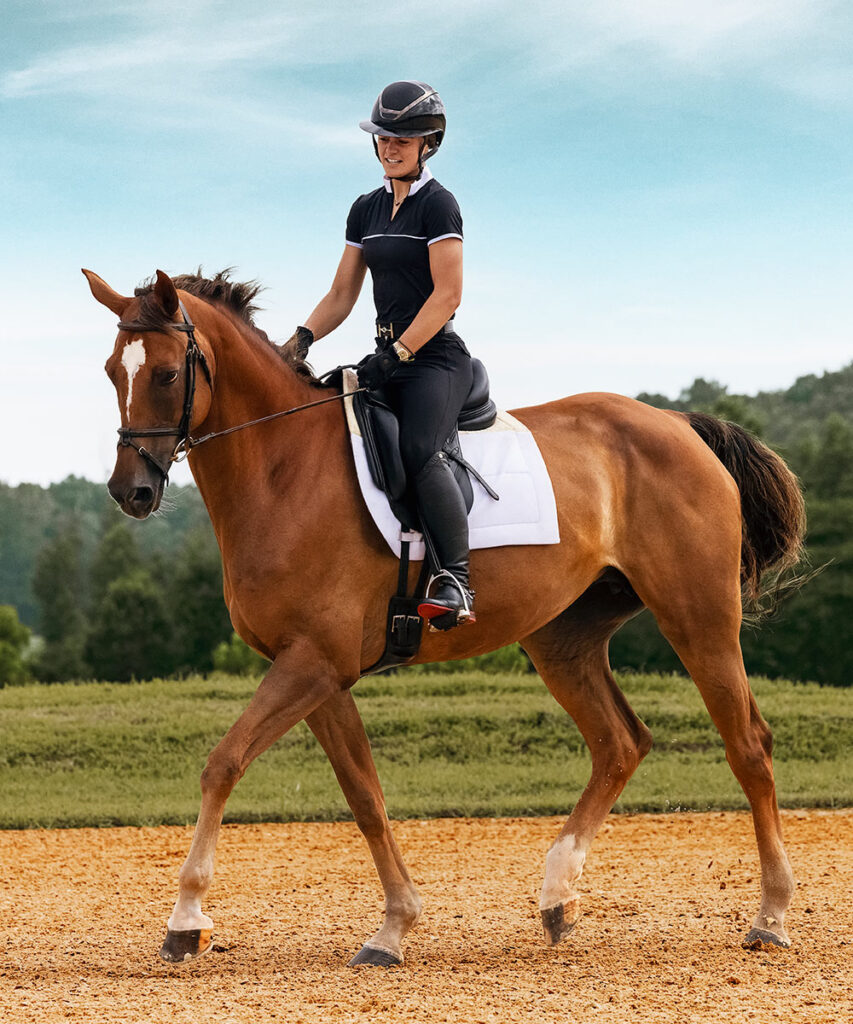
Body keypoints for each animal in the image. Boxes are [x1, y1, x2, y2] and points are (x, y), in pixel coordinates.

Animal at [84, 266, 805, 967]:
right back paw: (558, 896)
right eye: (112, 371)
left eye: (166, 374)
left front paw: (186, 919)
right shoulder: (319, 674)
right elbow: (364, 797)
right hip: (562, 641)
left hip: (697, 617)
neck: (282, 467)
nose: (130, 491)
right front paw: (393, 927)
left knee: (748, 745)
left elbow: (223, 764)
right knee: (619, 743)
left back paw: (770, 917)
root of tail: (677, 424)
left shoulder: (312, 662)